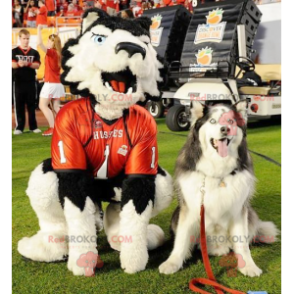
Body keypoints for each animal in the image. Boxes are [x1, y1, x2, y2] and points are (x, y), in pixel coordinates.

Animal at [17, 9, 172, 276]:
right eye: (99, 38)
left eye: (145, 42)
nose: (131, 47)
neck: (108, 112)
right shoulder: (67, 132)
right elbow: (77, 207)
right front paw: (83, 261)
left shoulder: (146, 142)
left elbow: (138, 193)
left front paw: (133, 259)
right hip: (49, 181)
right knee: (47, 184)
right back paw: (48, 246)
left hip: (143, 185)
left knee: (139, 194)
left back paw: (126, 235)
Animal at [160, 101, 280, 278]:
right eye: (212, 121)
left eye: (231, 121)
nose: (225, 129)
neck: (218, 171)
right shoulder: (190, 208)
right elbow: (182, 238)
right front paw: (172, 263)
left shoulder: (239, 210)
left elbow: (242, 243)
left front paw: (248, 265)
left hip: (250, 214)